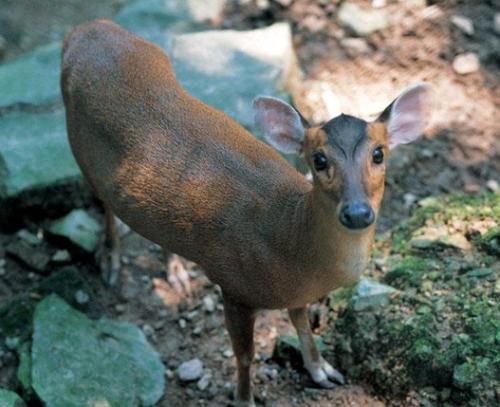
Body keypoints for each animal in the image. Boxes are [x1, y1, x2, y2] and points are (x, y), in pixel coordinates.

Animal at [60, 19, 432, 407]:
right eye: (318, 159)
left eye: (379, 153)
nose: (358, 213)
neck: (290, 243)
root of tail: (88, 29)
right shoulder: (234, 284)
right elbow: (245, 354)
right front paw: (243, 398)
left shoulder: (295, 293)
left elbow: (301, 324)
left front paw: (322, 370)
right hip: (79, 146)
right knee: (102, 200)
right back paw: (110, 258)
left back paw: (177, 272)